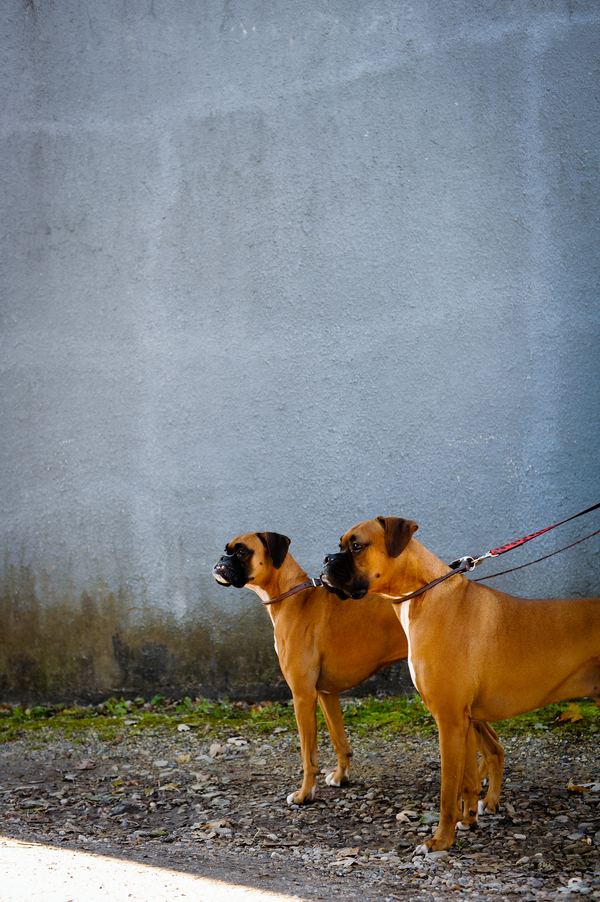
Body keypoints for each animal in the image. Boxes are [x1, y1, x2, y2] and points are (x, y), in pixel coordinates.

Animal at [213, 532, 504, 816]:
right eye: (227, 550)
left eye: (241, 552)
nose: (220, 559)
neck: (292, 596)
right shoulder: (325, 693)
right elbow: (339, 741)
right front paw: (341, 777)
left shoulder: (302, 696)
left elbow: (308, 756)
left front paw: (305, 795)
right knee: (493, 742)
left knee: (493, 748)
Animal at [322, 516, 600, 856]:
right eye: (339, 545)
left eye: (357, 545)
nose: (326, 560)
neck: (424, 595)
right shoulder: (464, 722)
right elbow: (468, 781)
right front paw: (467, 822)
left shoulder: (450, 722)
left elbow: (447, 790)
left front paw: (440, 840)